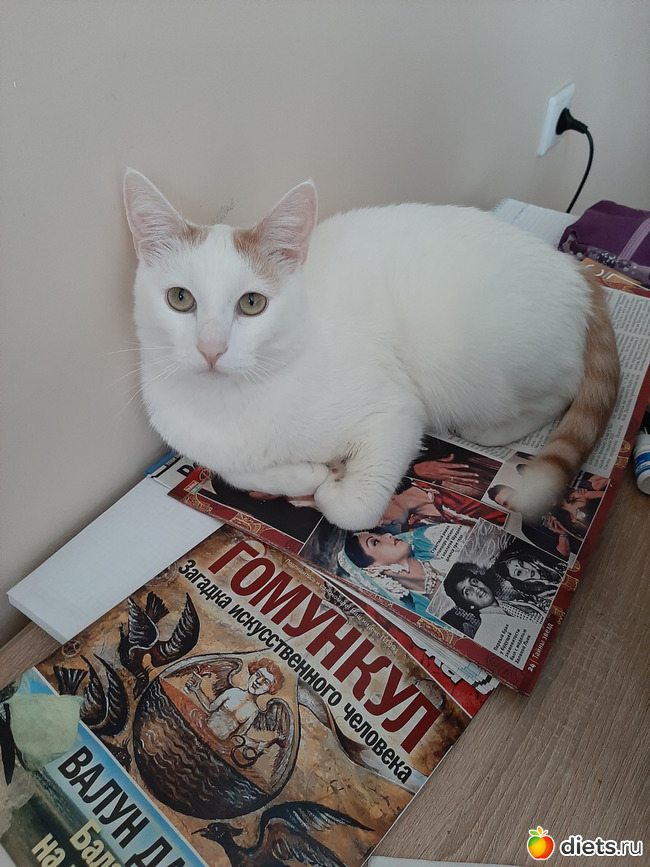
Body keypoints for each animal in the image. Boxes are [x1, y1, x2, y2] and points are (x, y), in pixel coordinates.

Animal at [123, 171, 619, 531]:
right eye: (180, 299)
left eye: (251, 303)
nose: (211, 348)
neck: (231, 407)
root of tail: (576, 271)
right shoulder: (206, 451)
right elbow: (234, 472)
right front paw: (308, 474)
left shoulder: (394, 415)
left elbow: (354, 510)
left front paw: (331, 487)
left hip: (481, 371)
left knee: (560, 391)